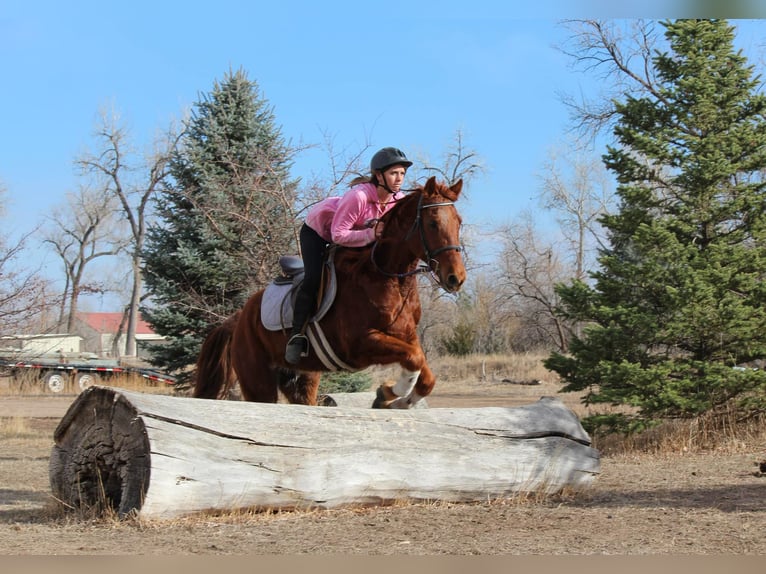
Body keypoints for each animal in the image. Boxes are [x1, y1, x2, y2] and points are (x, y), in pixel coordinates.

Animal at [193, 176, 466, 408]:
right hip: (257, 378)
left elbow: (424, 372)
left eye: (459, 222)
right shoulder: (360, 344)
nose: (456, 278)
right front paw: (388, 394)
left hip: (302, 378)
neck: (390, 280)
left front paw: (392, 397)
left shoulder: (407, 337)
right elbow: (414, 358)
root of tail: (238, 317)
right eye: (432, 223)